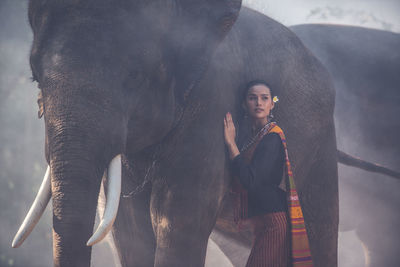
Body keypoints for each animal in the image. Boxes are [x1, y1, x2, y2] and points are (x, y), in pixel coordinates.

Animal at [11, 2, 340, 267]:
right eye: (36, 78)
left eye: (135, 77)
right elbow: (129, 227)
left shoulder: (212, 99)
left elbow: (178, 219)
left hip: (320, 148)